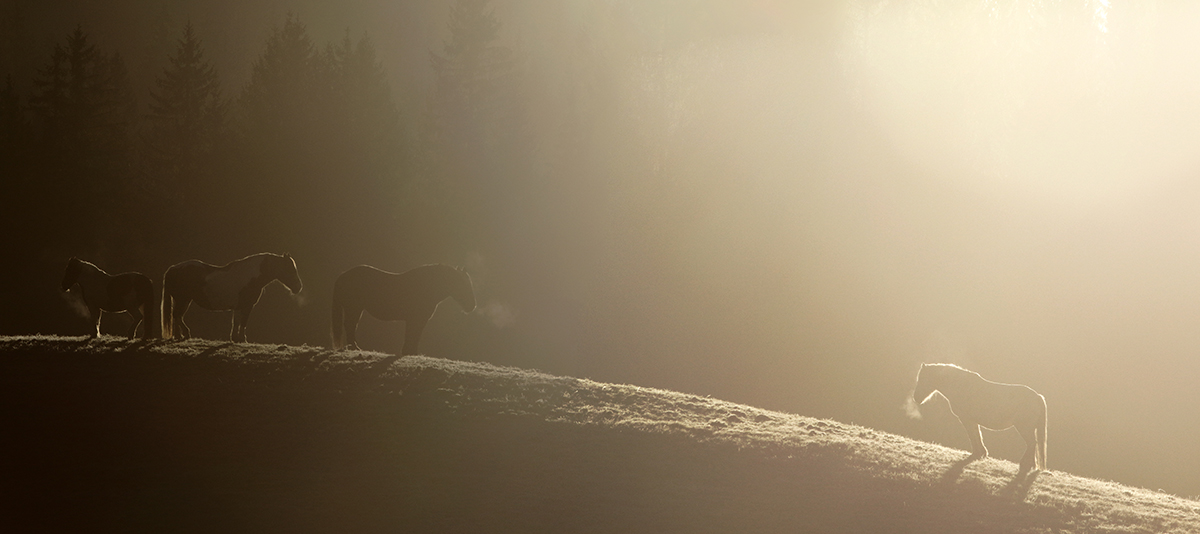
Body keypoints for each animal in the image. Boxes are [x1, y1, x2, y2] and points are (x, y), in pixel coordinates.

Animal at [162, 250, 302, 340]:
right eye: (289, 269)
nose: (298, 287)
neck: (250, 277)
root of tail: (173, 268)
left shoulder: (239, 306)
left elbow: (236, 322)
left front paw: (235, 338)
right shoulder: (247, 306)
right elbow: (243, 322)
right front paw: (242, 339)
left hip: (183, 300)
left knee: (177, 316)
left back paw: (180, 335)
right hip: (183, 300)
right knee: (177, 316)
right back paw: (184, 334)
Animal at [333, 262, 477, 352]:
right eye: (462, 285)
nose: (472, 306)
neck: (427, 288)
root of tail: (343, 275)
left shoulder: (416, 320)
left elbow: (413, 335)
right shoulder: (416, 320)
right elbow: (413, 335)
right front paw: (410, 352)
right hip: (354, 309)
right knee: (350, 325)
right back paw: (354, 347)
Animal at [912, 362, 1046, 470]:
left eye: (922, 379)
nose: (916, 398)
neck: (960, 386)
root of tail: (1037, 397)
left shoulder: (967, 420)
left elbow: (973, 436)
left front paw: (977, 453)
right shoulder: (972, 421)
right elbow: (977, 435)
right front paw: (982, 453)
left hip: (1024, 428)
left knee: (1032, 443)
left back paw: (1027, 464)